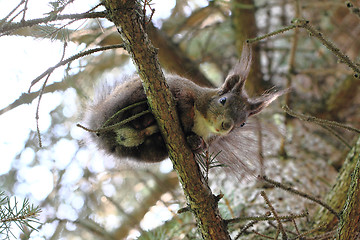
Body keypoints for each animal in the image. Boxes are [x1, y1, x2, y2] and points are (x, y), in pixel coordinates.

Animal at [82, 45, 286, 163]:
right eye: (223, 101)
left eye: (242, 123)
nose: (226, 126)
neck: (203, 123)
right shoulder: (184, 90)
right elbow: (184, 100)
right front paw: (186, 119)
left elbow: (202, 145)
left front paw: (195, 142)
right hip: (129, 96)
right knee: (131, 111)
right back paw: (144, 118)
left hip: (145, 153)